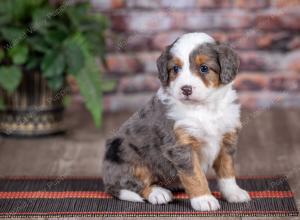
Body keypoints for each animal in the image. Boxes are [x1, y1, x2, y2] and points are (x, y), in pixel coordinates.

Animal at [103, 32, 251, 210]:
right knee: (131, 184)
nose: (186, 89)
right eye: (175, 69)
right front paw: (204, 199)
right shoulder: (181, 145)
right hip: (126, 156)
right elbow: (195, 175)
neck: (204, 108)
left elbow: (227, 171)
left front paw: (234, 193)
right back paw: (157, 193)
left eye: (204, 68)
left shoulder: (226, 139)